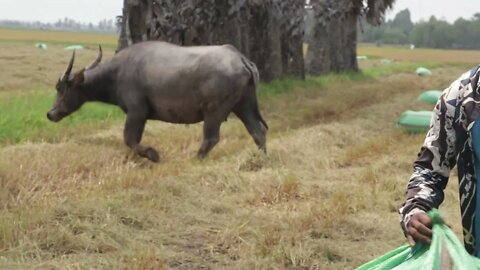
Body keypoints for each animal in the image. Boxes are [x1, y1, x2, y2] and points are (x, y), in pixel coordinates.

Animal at [47, 41, 268, 161]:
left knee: (211, 138)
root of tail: (240, 59)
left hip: (215, 110)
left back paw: (194, 159)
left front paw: (153, 155)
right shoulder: (142, 116)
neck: (117, 73)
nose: (50, 114)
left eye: (60, 88)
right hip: (244, 105)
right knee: (258, 131)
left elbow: (129, 138)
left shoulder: (136, 111)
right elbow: (134, 139)